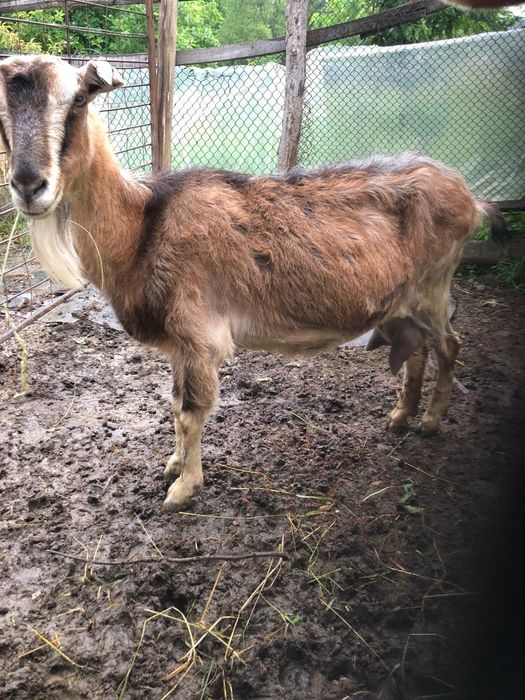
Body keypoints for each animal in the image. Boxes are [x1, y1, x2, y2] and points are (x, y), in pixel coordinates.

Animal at [0, 55, 499, 511]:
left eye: (79, 98)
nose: (28, 185)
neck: (143, 225)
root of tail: (469, 198)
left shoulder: (200, 336)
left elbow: (190, 413)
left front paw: (184, 488)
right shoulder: (180, 345)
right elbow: (175, 405)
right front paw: (173, 465)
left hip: (433, 287)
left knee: (449, 344)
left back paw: (431, 421)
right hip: (402, 302)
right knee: (417, 348)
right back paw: (400, 415)